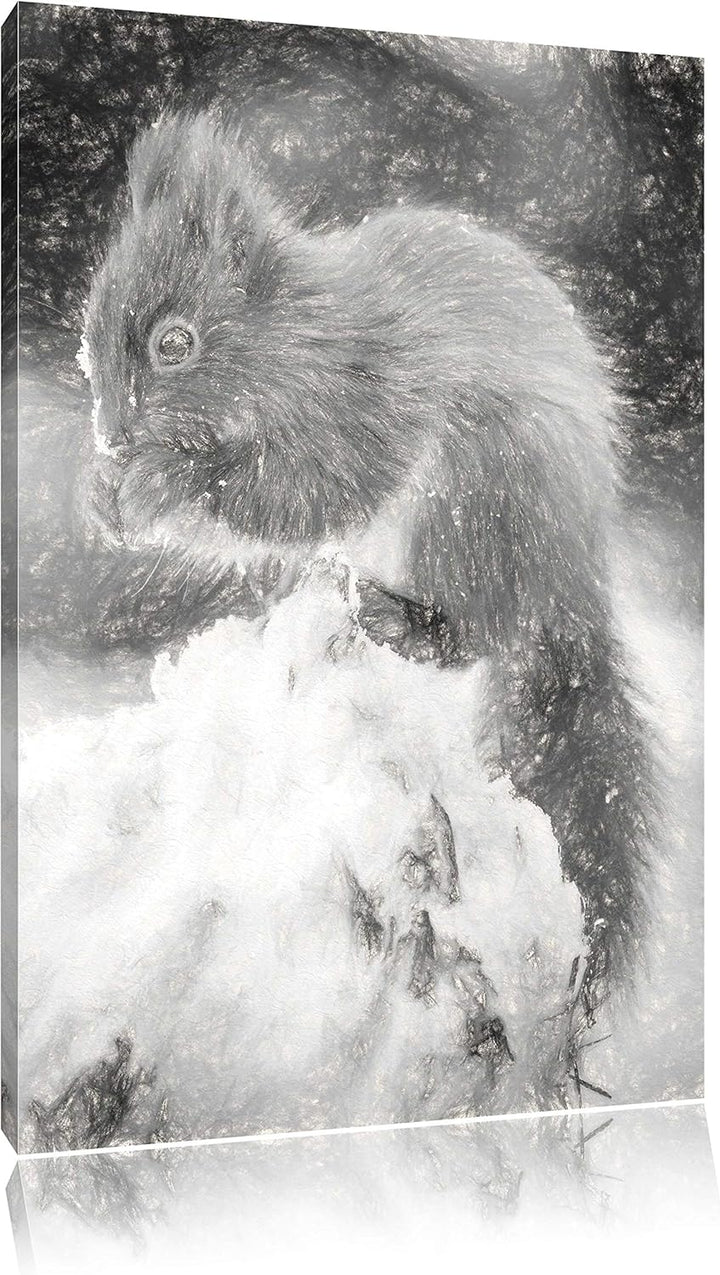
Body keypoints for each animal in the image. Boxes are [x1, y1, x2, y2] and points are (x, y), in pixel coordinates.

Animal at [82, 111, 655, 1011]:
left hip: (484, 500)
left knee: (477, 633)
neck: (299, 338)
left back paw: (403, 623)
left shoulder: (369, 400)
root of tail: (572, 585)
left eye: (175, 343)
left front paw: (160, 484)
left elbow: (302, 492)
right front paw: (103, 493)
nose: (108, 434)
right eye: (91, 321)